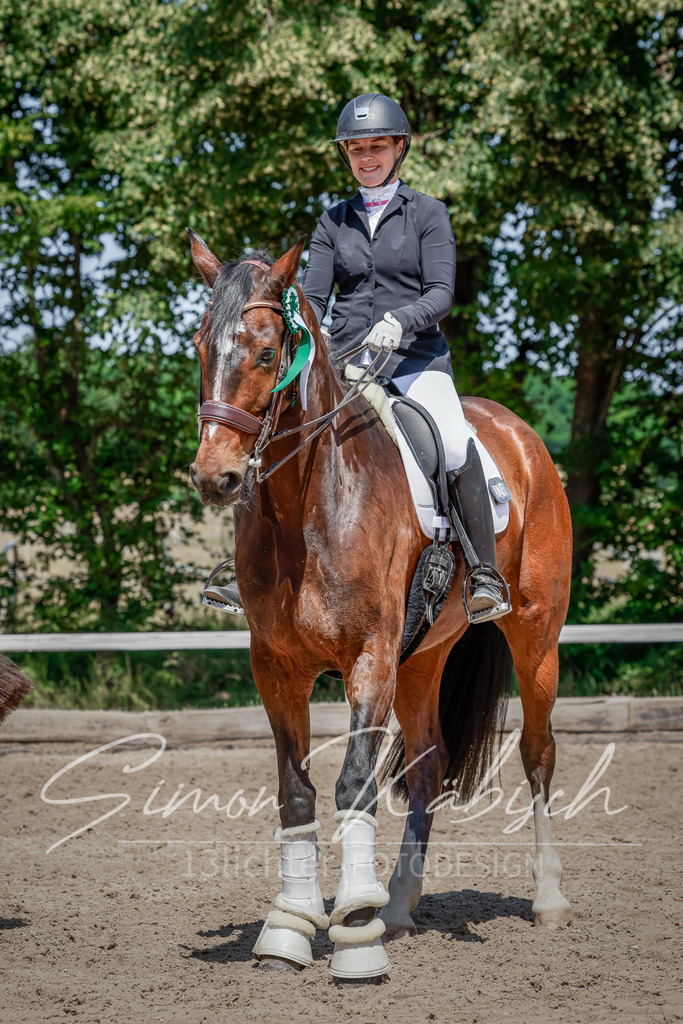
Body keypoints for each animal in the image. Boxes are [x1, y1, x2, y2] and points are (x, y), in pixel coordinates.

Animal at [187, 232, 573, 980]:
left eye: (266, 354)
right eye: (197, 347)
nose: (215, 477)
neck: (307, 507)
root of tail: (518, 432)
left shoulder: (367, 658)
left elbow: (354, 785)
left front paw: (354, 938)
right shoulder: (276, 668)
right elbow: (297, 792)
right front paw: (290, 930)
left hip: (535, 635)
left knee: (537, 753)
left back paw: (547, 900)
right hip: (421, 659)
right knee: (426, 763)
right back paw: (398, 904)